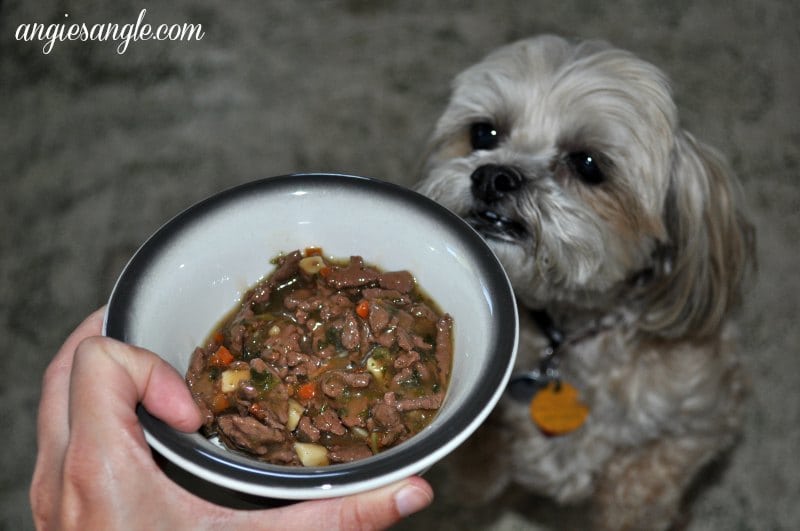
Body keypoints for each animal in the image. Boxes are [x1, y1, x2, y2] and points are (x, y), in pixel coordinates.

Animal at [418, 35, 756, 528]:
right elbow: (482, 459)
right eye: (484, 133)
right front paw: (481, 476)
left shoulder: (703, 421)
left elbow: (640, 485)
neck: (569, 335)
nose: (493, 176)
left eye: (588, 164)